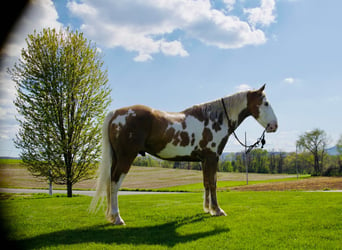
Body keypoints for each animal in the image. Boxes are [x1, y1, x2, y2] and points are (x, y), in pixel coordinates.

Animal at [91, 84, 278, 225]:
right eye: (266, 103)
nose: (274, 126)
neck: (215, 119)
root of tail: (115, 113)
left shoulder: (204, 160)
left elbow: (206, 183)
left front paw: (207, 209)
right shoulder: (212, 157)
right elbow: (213, 183)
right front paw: (217, 210)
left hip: (117, 158)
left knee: (109, 182)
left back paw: (111, 216)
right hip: (126, 157)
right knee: (114, 183)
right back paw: (117, 218)